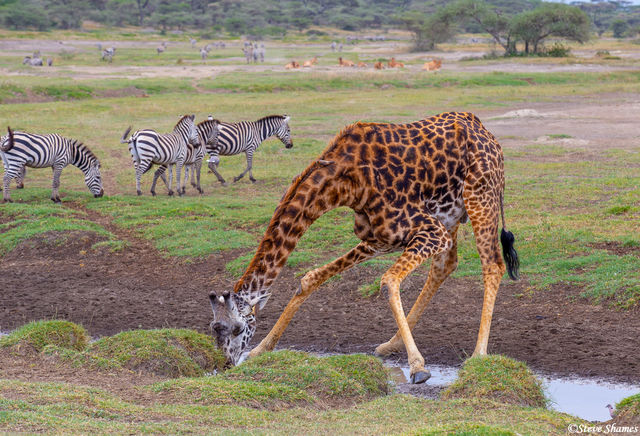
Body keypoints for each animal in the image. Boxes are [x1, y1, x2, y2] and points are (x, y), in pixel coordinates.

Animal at [209, 111, 519, 383]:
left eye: (238, 328)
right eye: (214, 328)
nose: (226, 364)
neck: (345, 184)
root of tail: (483, 130)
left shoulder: (430, 231)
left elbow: (388, 280)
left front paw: (418, 367)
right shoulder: (380, 239)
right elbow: (311, 278)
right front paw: (261, 350)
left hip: (480, 198)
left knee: (493, 265)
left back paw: (478, 355)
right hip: (452, 214)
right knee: (445, 265)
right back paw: (390, 344)